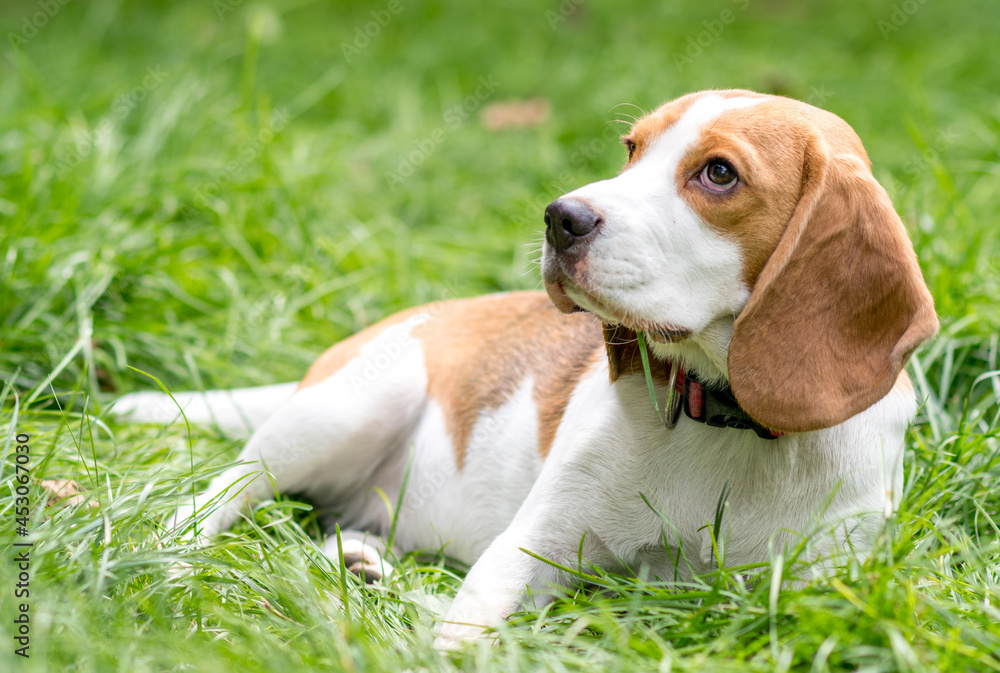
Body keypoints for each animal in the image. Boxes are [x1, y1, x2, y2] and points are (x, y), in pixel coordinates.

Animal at [115, 89, 936, 644]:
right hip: (346, 409)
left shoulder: (819, 581)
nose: (560, 218)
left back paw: (361, 560)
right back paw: (178, 560)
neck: (720, 417)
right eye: (631, 149)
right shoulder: (531, 544)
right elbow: (469, 626)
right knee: (218, 492)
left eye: (719, 174)